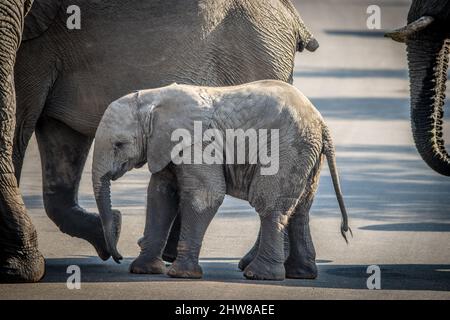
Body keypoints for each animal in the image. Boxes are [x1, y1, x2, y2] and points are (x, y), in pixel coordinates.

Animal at [0, 0, 318, 282]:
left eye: (120, 145)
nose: (117, 257)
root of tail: (294, 18)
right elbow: (62, 139)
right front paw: (111, 234)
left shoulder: (34, 45)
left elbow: (20, 122)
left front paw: (18, 269)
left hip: (256, 52)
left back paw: (255, 269)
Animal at [92, 80, 352, 280]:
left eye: (119, 144)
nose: (117, 257)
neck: (152, 98)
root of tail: (322, 123)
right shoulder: (166, 147)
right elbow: (160, 195)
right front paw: (142, 270)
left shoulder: (197, 143)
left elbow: (205, 195)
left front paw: (181, 275)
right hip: (307, 154)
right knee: (300, 208)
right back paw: (301, 274)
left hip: (287, 149)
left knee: (270, 206)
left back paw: (259, 275)